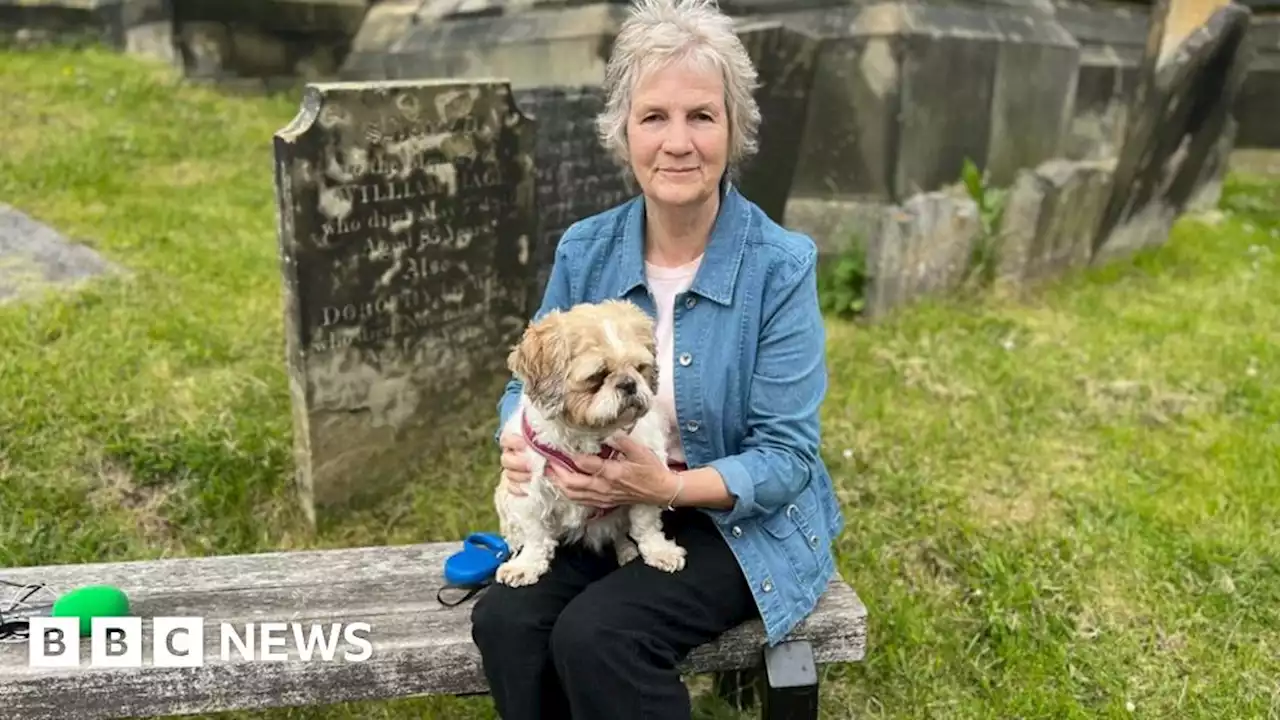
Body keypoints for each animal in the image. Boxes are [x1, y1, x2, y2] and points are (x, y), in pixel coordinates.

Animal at [491, 299, 691, 586]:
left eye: (639, 368)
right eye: (597, 376)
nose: (629, 384)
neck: (587, 433)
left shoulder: (645, 482)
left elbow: (646, 523)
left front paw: (659, 551)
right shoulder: (528, 488)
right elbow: (535, 533)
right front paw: (526, 565)